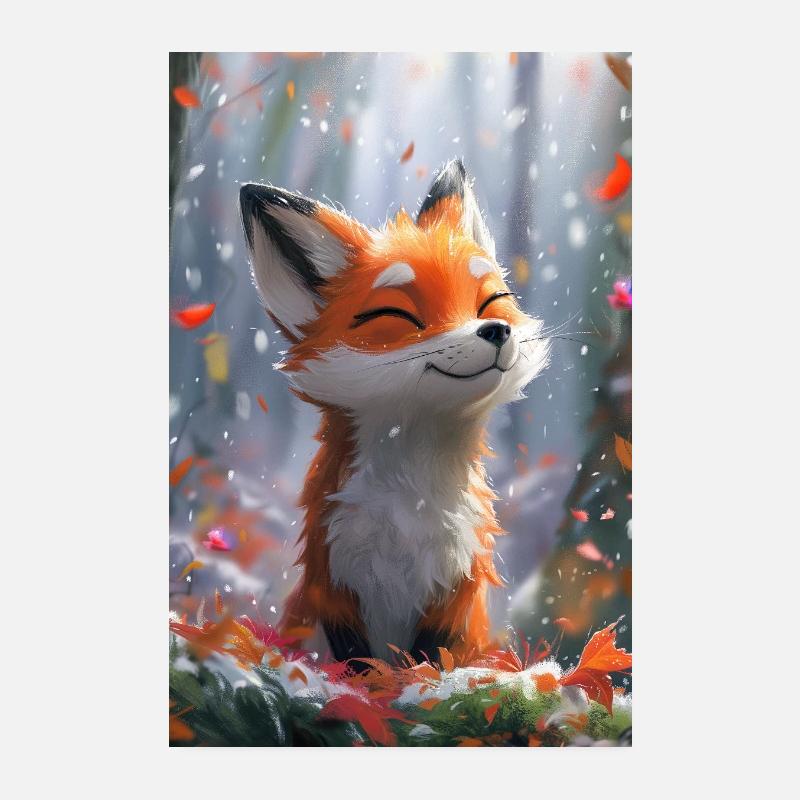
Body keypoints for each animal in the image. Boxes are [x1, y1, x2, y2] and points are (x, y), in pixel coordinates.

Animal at [239, 159, 550, 665]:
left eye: (490, 302)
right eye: (398, 316)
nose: (496, 330)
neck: (410, 504)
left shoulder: (457, 587)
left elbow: (430, 660)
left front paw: (417, 683)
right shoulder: (332, 580)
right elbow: (356, 663)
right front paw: (366, 686)